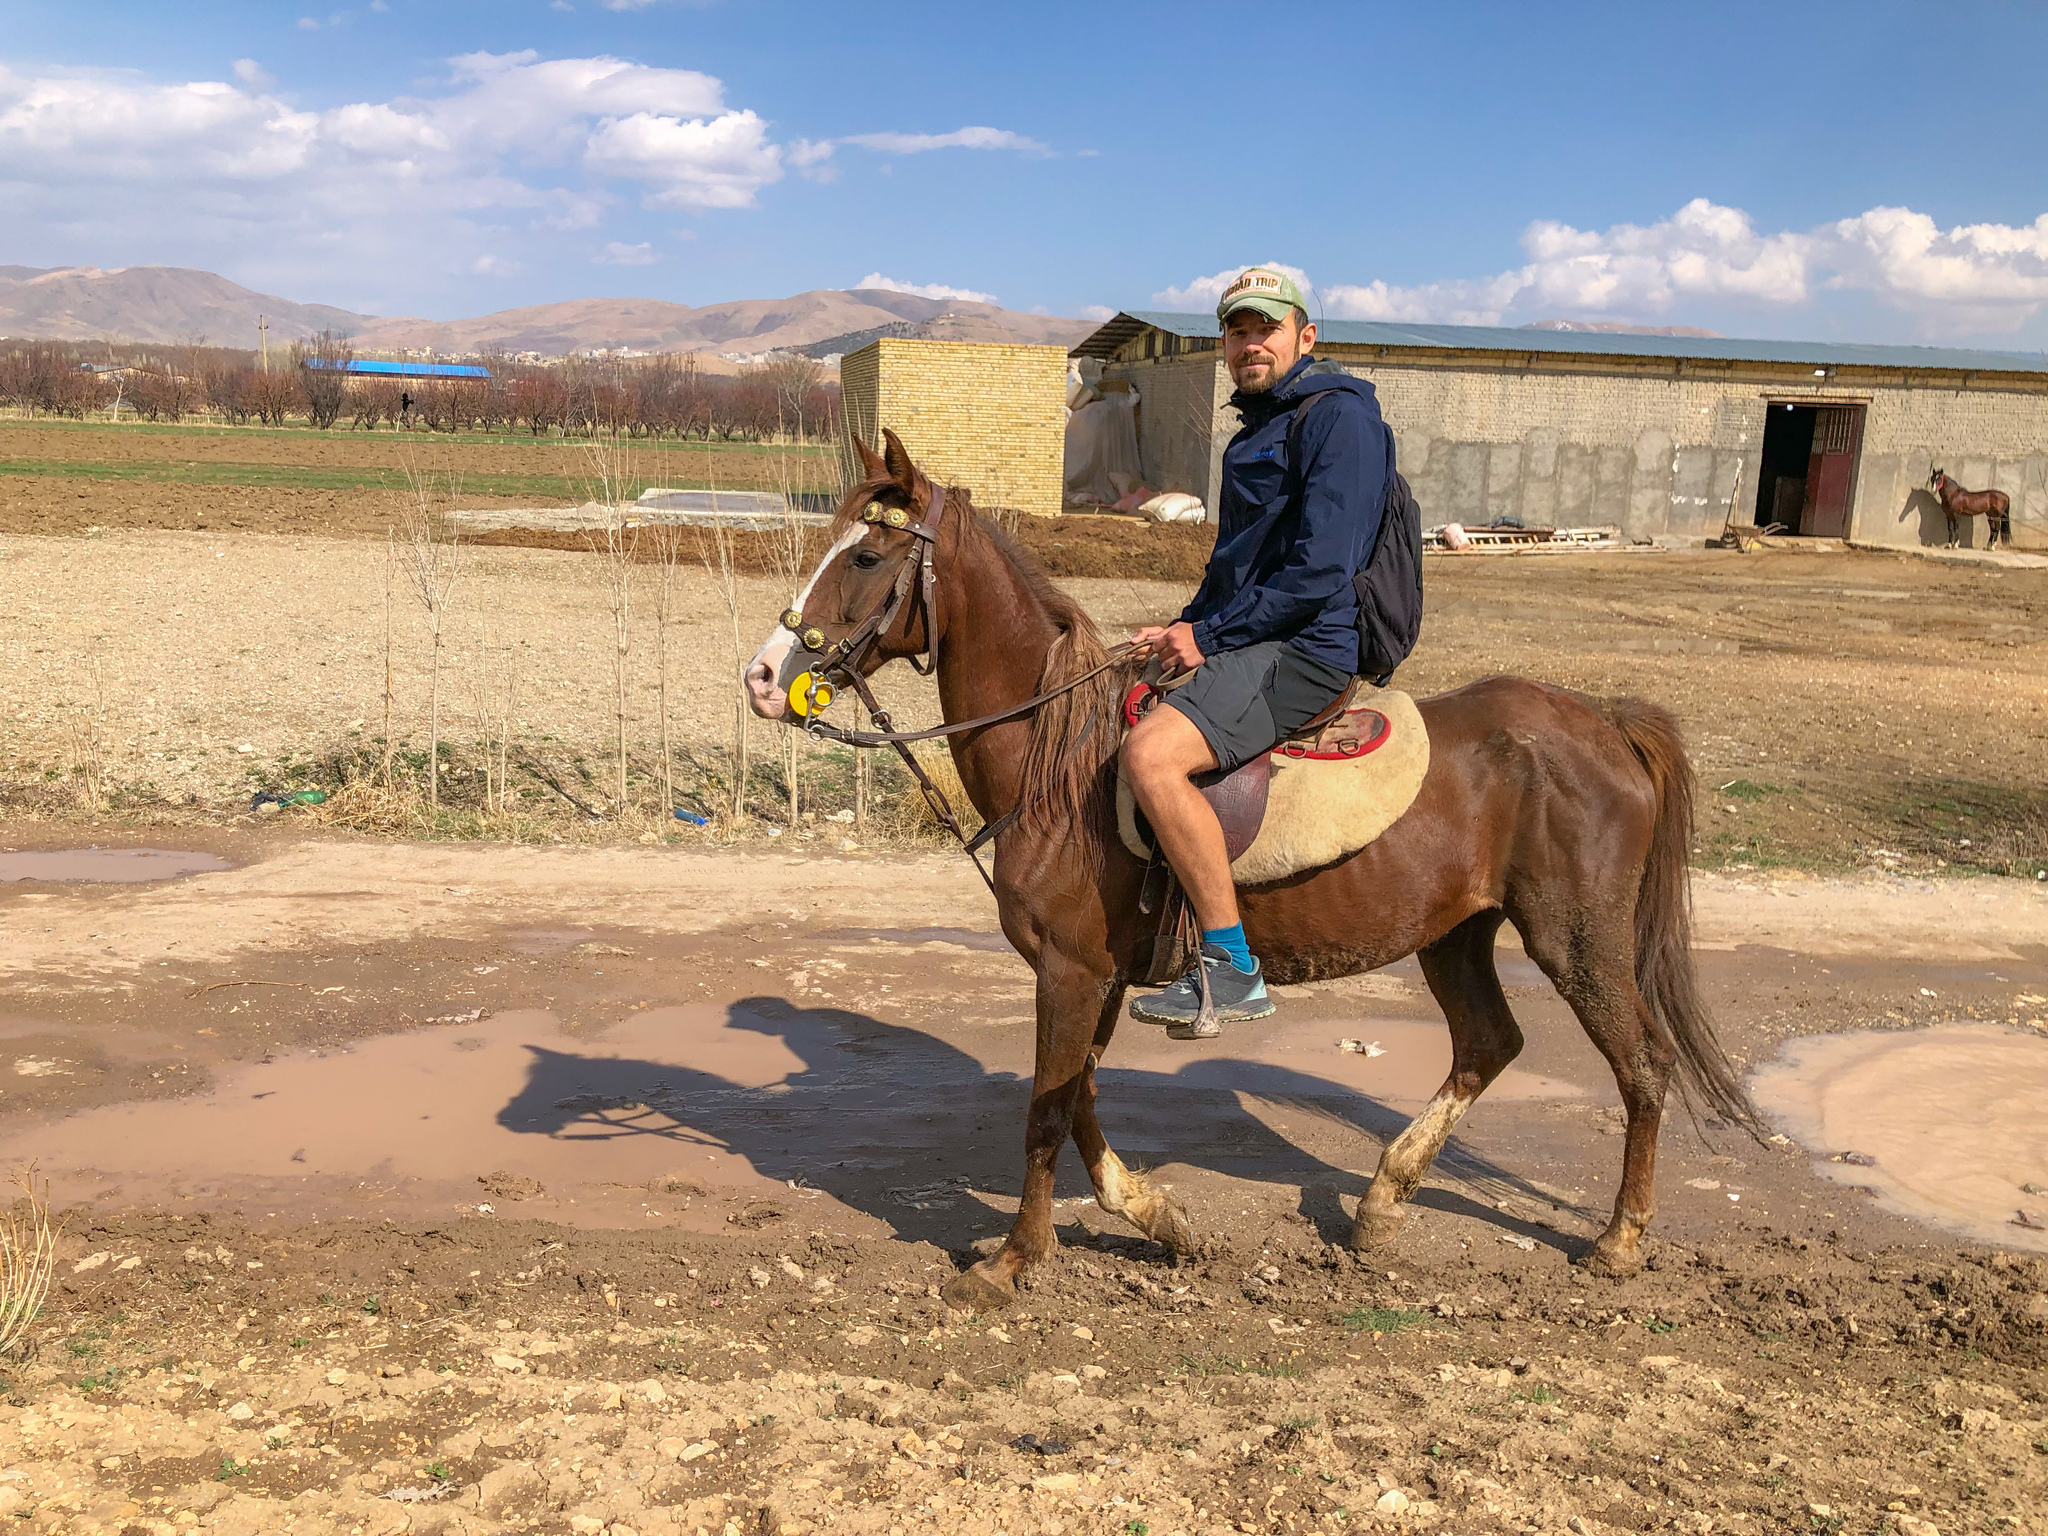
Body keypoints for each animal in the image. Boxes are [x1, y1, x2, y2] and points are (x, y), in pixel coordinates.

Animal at [745, 430, 1753, 1310]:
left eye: (867, 558)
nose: (761, 676)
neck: (1059, 764)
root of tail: (1603, 719)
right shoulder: (1092, 976)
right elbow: (1077, 1099)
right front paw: (1159, 1218)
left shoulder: (1071, 972)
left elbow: (1043, 1112)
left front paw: (1011, 1265)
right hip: (1454, 935)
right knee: (1488, 1045)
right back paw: (1380, 1206)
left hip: (1574, 937)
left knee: (1643, 1063)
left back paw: (1618, 1240)